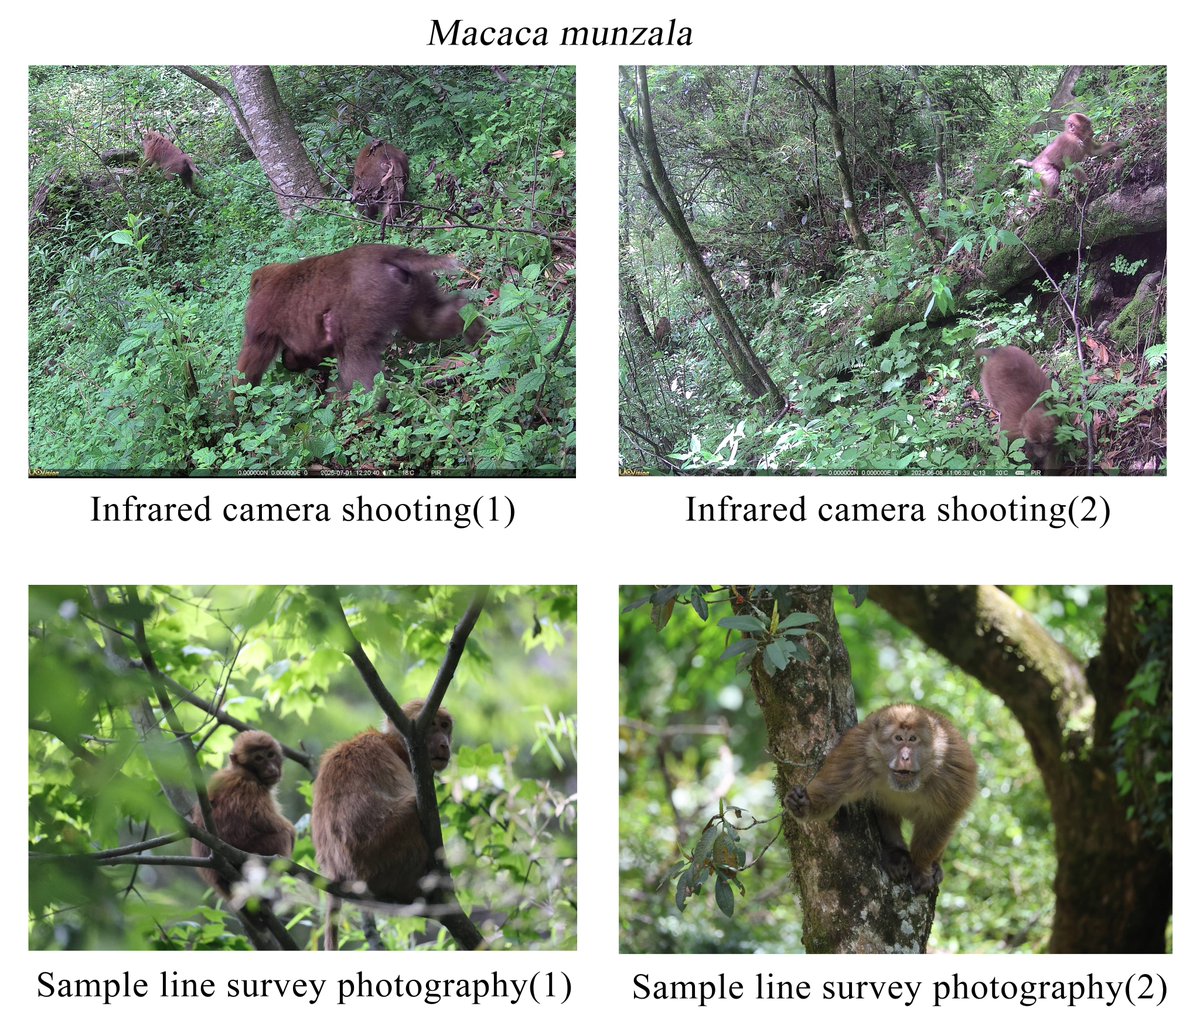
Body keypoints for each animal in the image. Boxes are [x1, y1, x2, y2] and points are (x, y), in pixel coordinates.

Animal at [190, 730, 295, 899]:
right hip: (256, 850)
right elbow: (261, 818)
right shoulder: (250, 787)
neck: (242, 771)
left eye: (270, 755)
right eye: (258, 758)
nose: (271, 768)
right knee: (282, 837)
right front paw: (292, 830)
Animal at [236, 244, 487, 394]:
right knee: (425, 326)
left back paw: (376, 403)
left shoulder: (258, 316)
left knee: (353, 351)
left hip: (369, 297)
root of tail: (383, 253)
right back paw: (475, 331)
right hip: (408, 287)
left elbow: (252, 361)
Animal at [311, 700, 454, 950]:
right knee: (412, 810)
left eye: (445, 726)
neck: (394, 743)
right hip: (379, 853)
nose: (444, 744)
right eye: (432, 725)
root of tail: (337, 872)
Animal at [784, 704, 977, 894]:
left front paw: (921, 868)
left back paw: (934, 865)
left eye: (913, 739)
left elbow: (942, 817)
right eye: (898, 738)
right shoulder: (858, 755)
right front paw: (804, 804)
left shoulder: (950, 772)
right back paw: (895, 854)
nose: (905, 757)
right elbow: (831, 794)